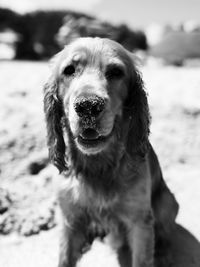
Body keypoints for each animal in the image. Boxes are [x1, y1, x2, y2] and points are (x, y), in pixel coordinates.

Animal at [43, 37, 178, 267]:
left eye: (115, 72)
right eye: (69, 70)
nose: (88, 105)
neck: (98, 166)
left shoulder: (140, 222)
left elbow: (143, 258)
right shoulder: (69, 219)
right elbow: (65, 258)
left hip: (168, 203)